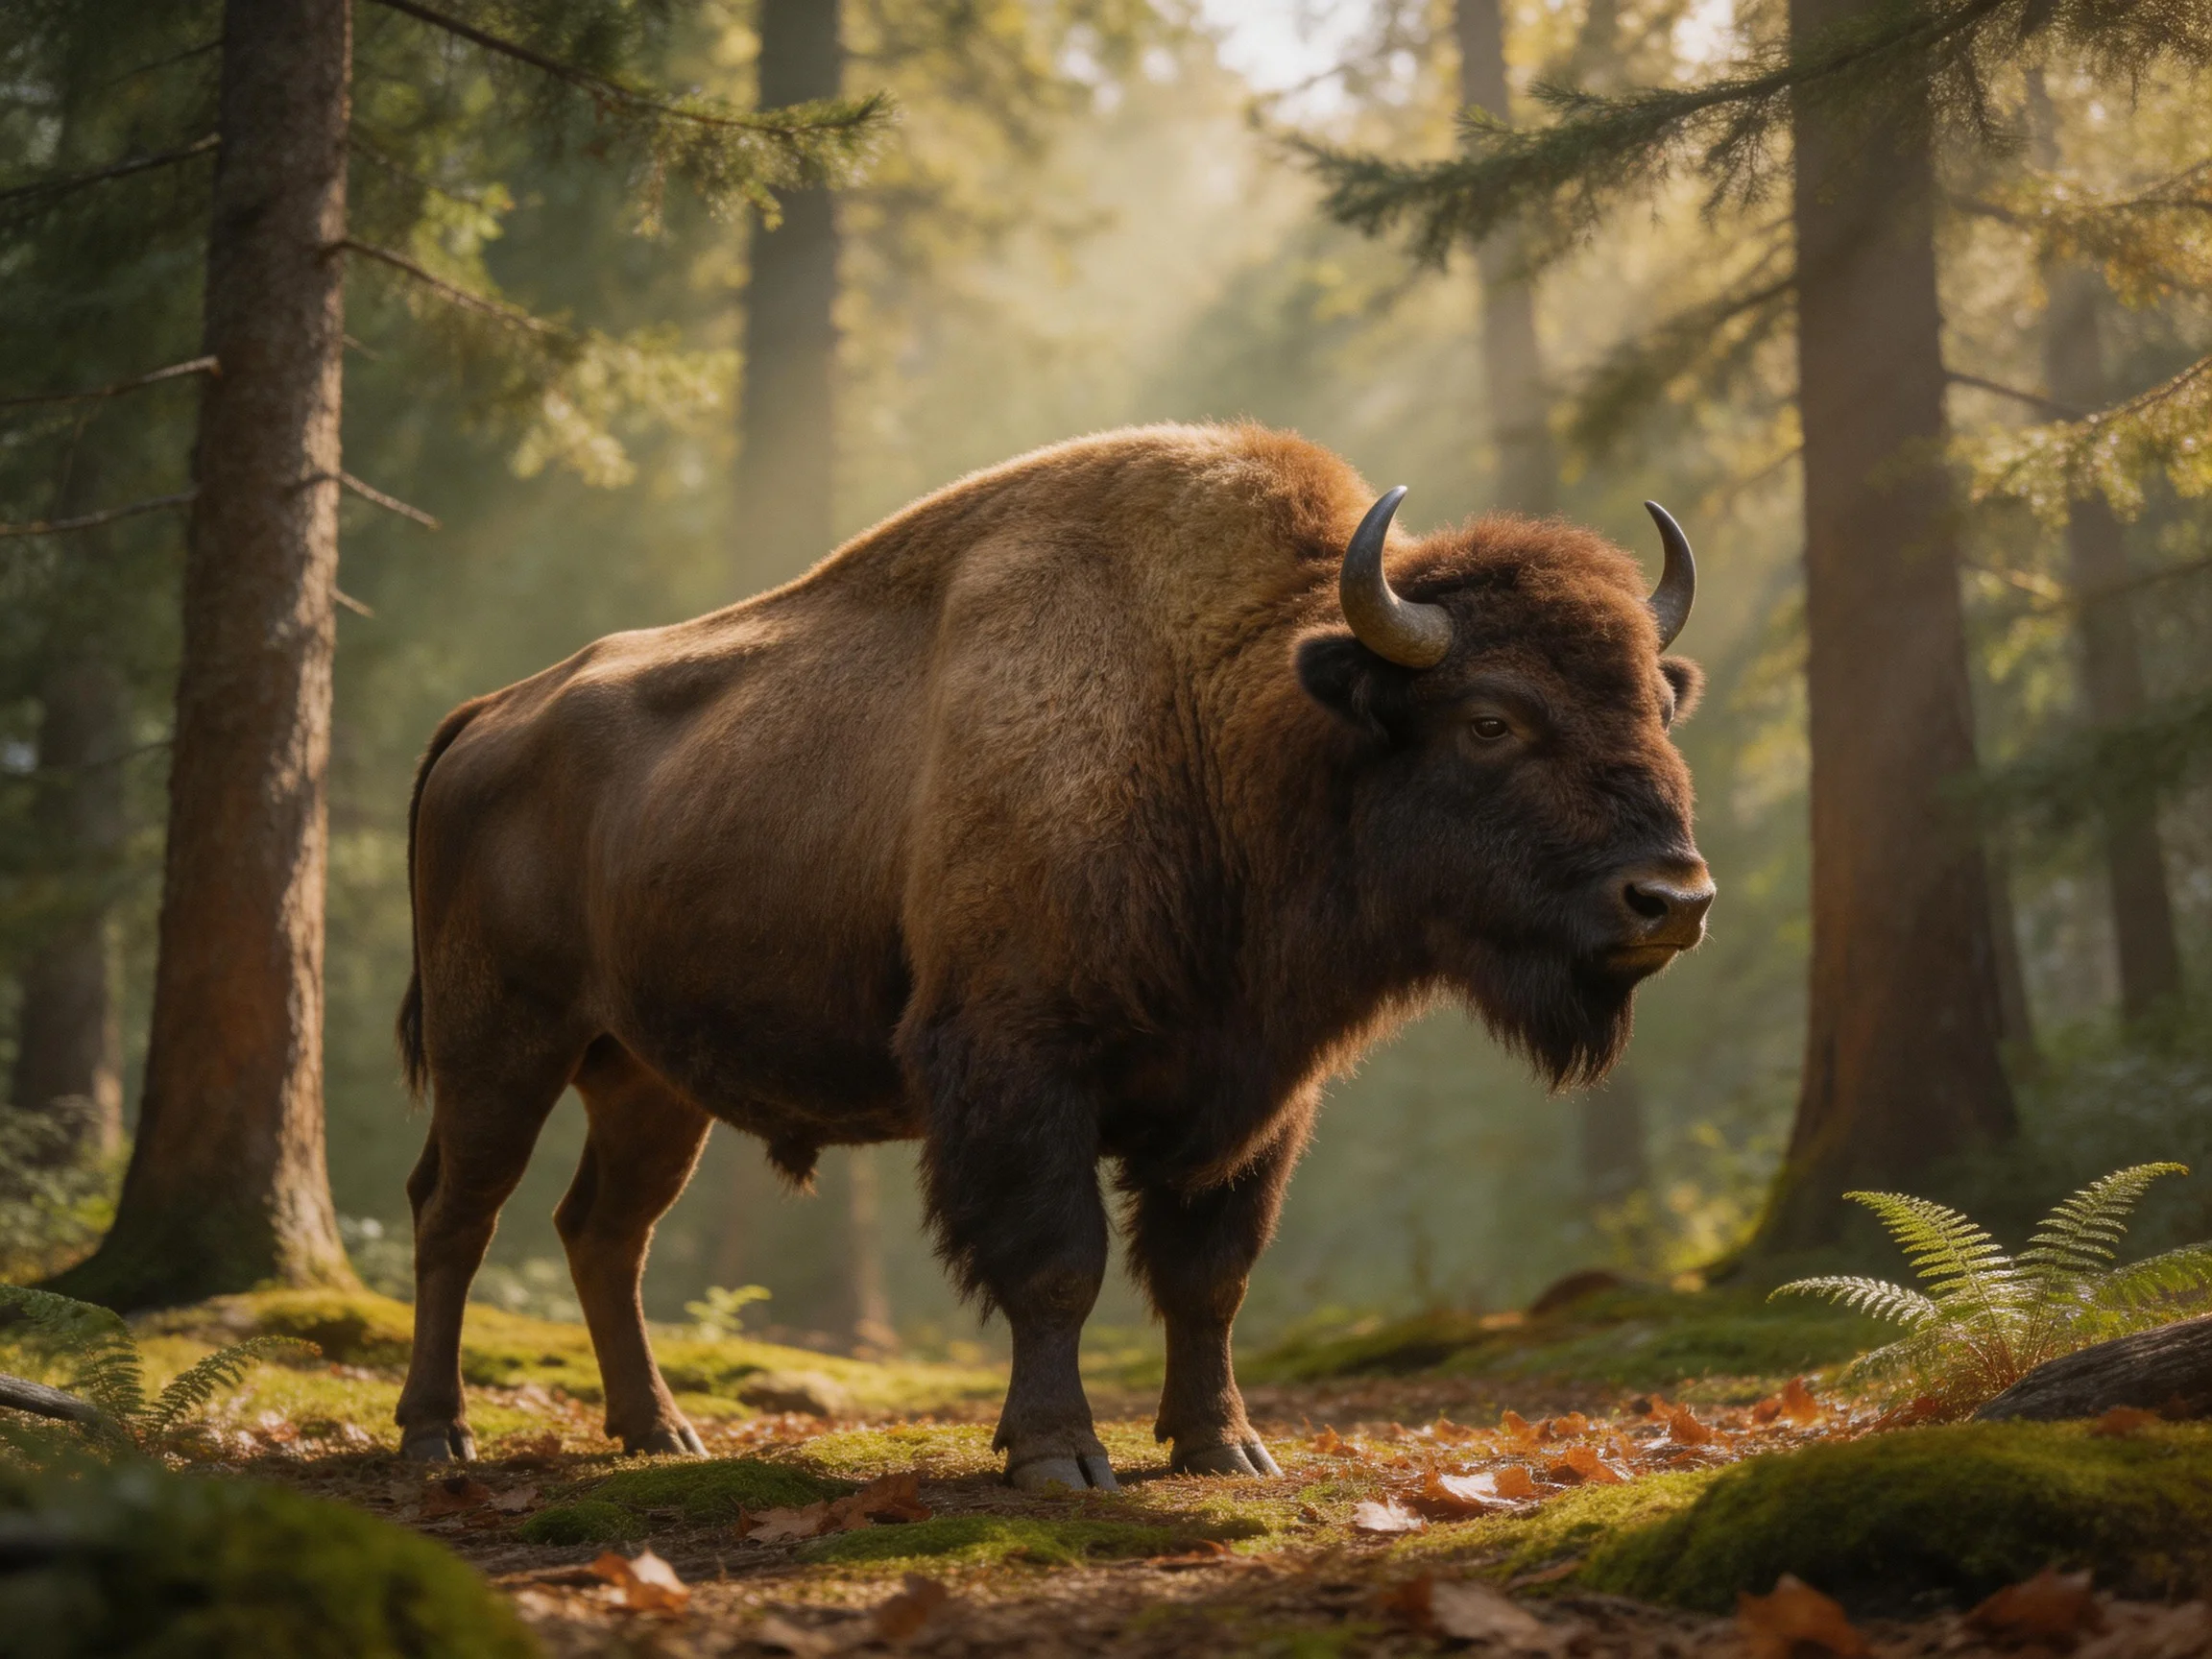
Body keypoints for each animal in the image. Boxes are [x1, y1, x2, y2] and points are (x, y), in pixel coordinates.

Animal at [393, 423, 1712, 1487]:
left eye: (1658, 705)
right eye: (1490, 719)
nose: (1674, 897)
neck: (1221, 715)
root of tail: (484, 719)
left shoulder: (1257, 1098)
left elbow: (1209, 1277)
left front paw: (1225, 1446)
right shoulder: (1020, 1066)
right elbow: (1057, 1266)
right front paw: (1059, 1456)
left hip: (649, 1081)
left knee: (604, 1231)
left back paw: (659, 1431)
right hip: (499, 1041)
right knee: (458, 1211)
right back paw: (436, 1435)